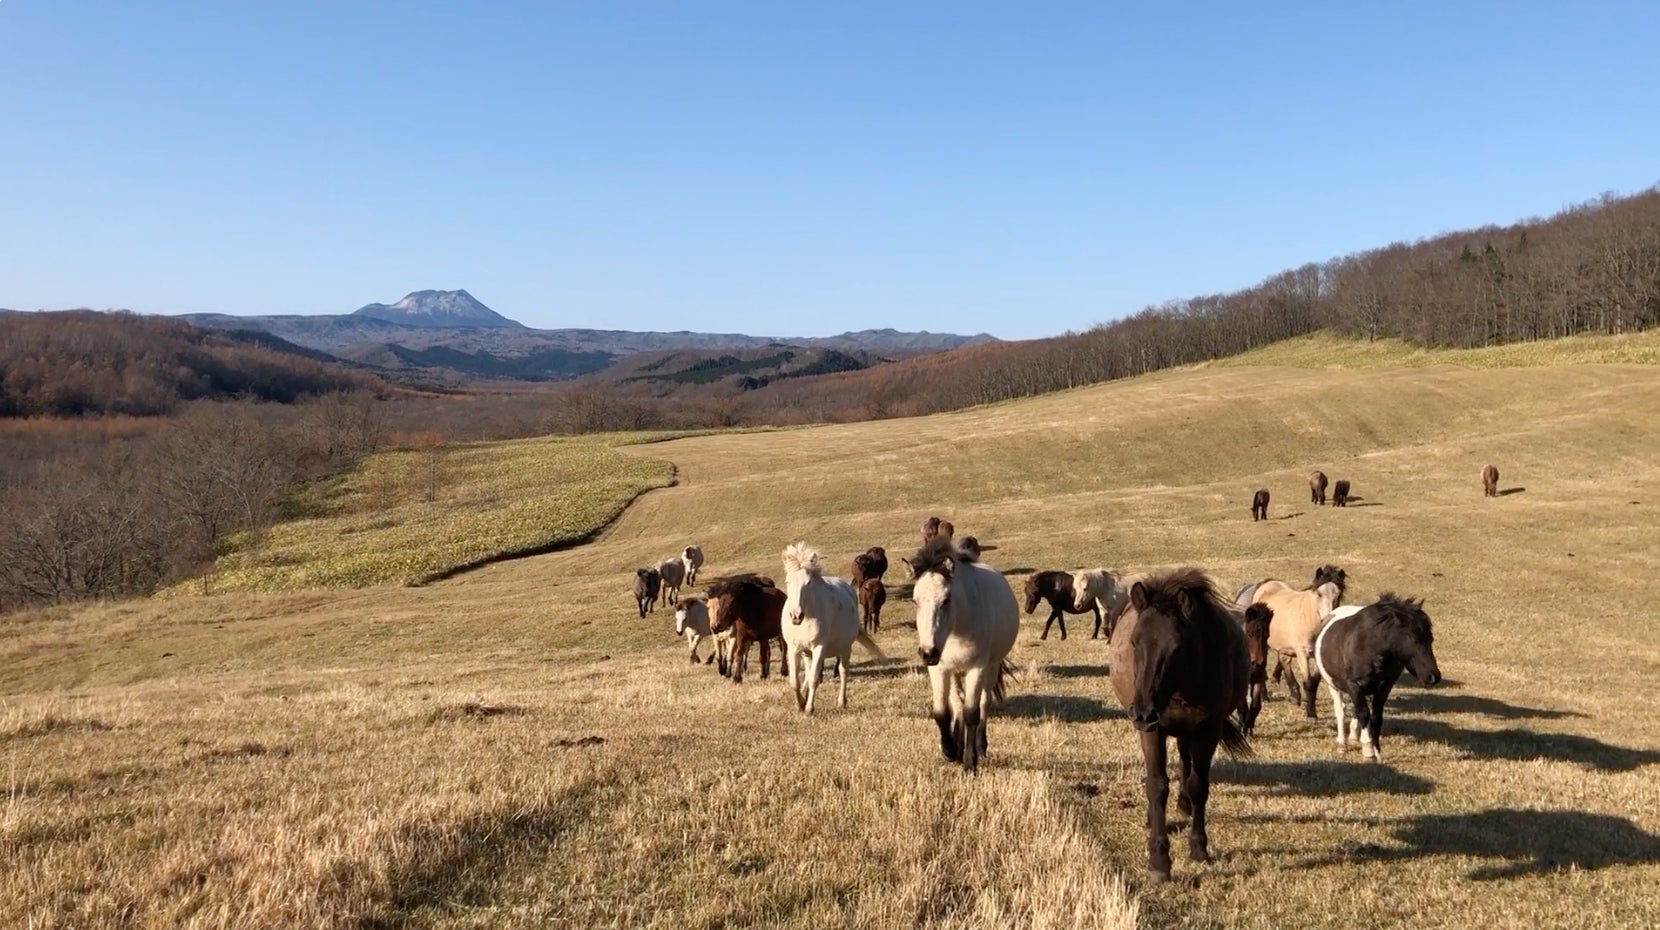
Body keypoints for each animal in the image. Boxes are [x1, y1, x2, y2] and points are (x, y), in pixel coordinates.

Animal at [776, 541, 883, 714]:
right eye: (788, 582)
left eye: (808, 583)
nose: (796, 616)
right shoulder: (794, 649)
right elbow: (795, 681)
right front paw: (800, 704)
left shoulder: (819, 647)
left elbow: (814, 679)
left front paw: (809, 708)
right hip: (808, 653)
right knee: (808, 672)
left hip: (845, 648)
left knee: (843, 671)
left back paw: (841, 702)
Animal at [903, 534, 1015, 773]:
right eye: (915, 601)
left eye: (946, 600)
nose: (928, 652)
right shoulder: (939, 669)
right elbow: (942, 712)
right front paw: (950, 750)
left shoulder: (976, 668)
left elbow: (972, 712)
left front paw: (969, 762)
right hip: (954, 672)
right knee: (957, 703)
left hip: (991, 668)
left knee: (983, 703)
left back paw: (980, 748)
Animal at [1108, 571, 1248, 883]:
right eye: (1134, 642)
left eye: (1177, 647)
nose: (1142, 711)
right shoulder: (1153, 732)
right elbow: (1157, 785)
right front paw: (1159, 862)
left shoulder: (1207, 731)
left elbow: (1198, 785)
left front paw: (1199, 848)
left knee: (1186, 762)